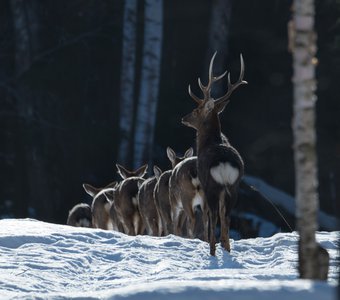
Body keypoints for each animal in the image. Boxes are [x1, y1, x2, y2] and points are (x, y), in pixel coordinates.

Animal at [182, 52, 246, 255]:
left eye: (196, 110)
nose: (183, 118)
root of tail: (224, 164)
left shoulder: (203, 183)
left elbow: (208, 217)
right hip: (234, 187)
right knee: (227, 217)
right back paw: (226, 247)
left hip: (212, 186)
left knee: (215, 215)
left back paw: (212, 249)